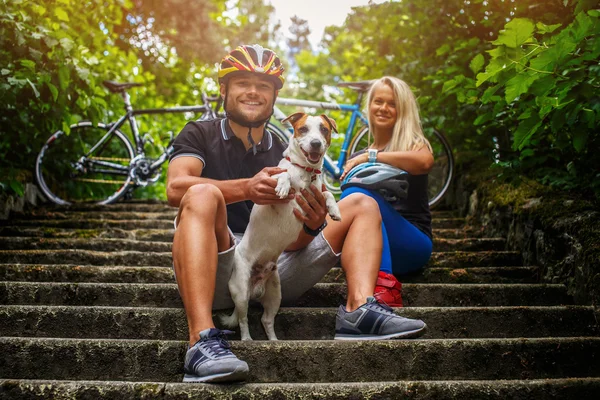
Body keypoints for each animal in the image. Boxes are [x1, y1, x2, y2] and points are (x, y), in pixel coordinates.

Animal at [220, 111, 342, 340]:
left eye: (324, 129)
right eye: (303, 129)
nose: (315, 143)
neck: (305, 171)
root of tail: (256, 287)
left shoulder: (317, 193)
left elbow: (327, 194)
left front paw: (334, 210)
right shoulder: (268, 196)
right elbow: (282, 174)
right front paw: (284, 186)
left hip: (275, 293)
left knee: (266, 320)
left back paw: (274, 341)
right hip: (240, 292)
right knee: (243, 319)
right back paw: (247, 339)